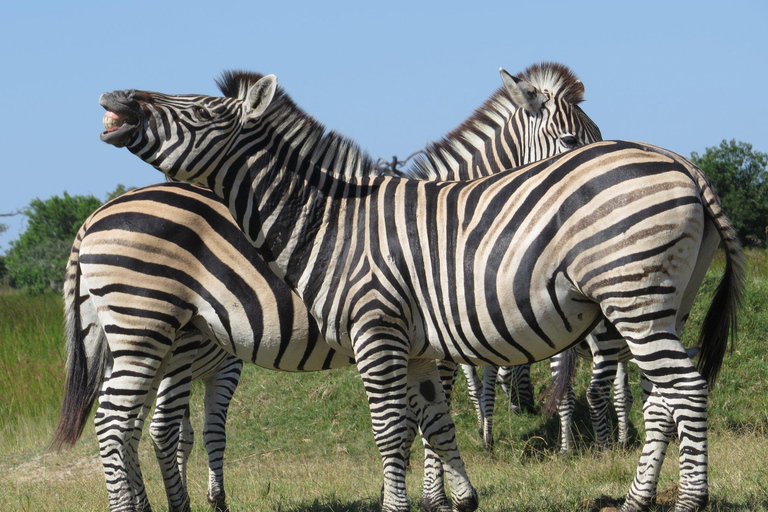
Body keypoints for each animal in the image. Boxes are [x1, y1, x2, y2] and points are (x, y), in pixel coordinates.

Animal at [99, 69, 740, 512]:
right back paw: (639, 499)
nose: (114, 98)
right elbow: (432, 422)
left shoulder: (380, 332)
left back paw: (687, 500)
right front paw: (455, 498)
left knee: (683, 390)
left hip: (637, 303)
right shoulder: (419, 345)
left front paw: (416, 501)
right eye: (568, 135)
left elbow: (396, 429)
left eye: (204, 112)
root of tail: (682, 163)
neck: (333, 222)